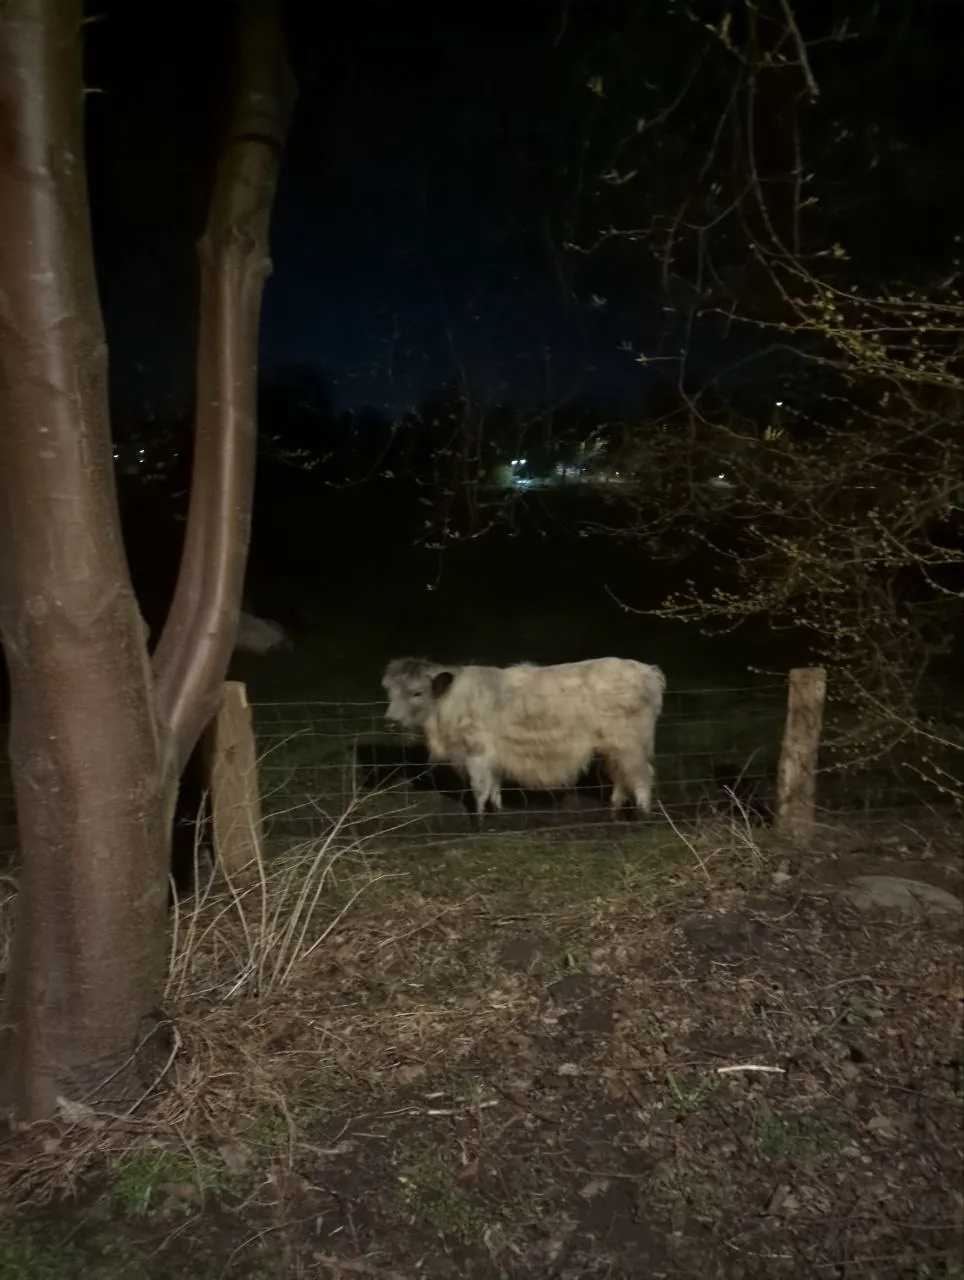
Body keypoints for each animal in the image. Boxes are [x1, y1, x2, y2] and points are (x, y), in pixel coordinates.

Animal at [381, 655, 666, 822]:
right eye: (390, 691)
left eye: (417, 693)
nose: (390, 721)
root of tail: (647, 671)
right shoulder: (493, 755)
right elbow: (494, 787)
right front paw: (497, 813)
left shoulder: (478, 752)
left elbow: (480, 788)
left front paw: (480, 822)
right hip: (615, 747)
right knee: (621, 777)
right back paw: (614, 810)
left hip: (630, 745)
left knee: (642, 778)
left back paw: (642, 817)